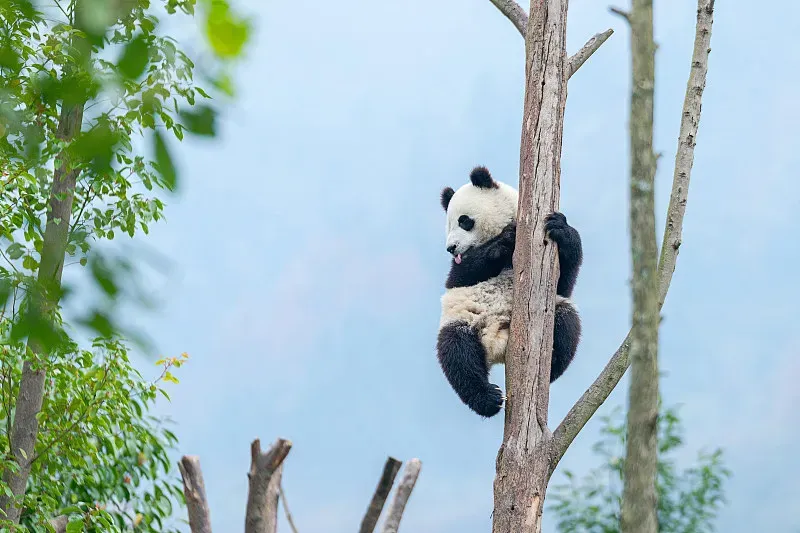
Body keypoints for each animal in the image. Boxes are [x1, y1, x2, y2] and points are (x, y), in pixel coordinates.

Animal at [436, 166, 583, 418]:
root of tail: (498, 344)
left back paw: (551, 363)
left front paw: (561, 227)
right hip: (461, 319)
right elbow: (464, 273)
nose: (451, 248)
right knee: (457, 354)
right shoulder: (458, 274)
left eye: (464, 221)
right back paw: (488, 398)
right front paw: (503, 241)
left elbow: (564, 282)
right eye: (448, 225)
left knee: (567, 325)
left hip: (555, 310)